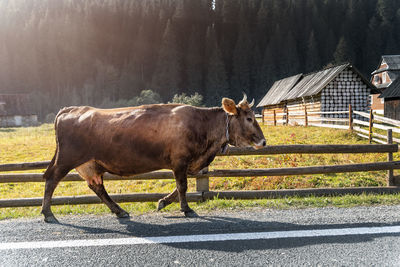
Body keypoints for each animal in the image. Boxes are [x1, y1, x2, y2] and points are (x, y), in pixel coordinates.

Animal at [40, 95, 266, 223]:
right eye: (249, 118)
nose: (263, 142)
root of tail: (71, 109)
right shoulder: (180, 160)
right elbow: (182, 186)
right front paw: (186, 209)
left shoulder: (186, 163)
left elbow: (179, 187)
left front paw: (163, 202)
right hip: (67, 159)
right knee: (51, 179)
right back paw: (48, 213)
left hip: (89, 164)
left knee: (97, 187)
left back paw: (120, 211)